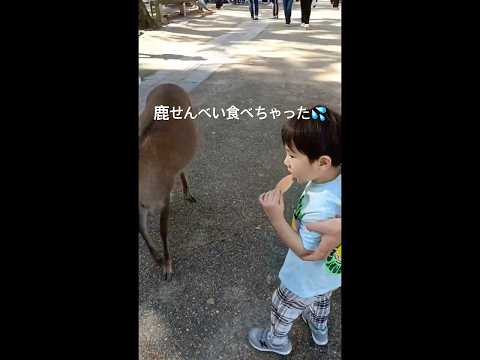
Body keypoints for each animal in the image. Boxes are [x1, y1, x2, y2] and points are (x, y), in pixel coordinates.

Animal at [139, 83, 199, 282]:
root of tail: (168, 84)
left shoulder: (165, 194)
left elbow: (162, 230)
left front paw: (167, 267)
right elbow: (142, 231)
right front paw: (158, 260)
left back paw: (189, 194)